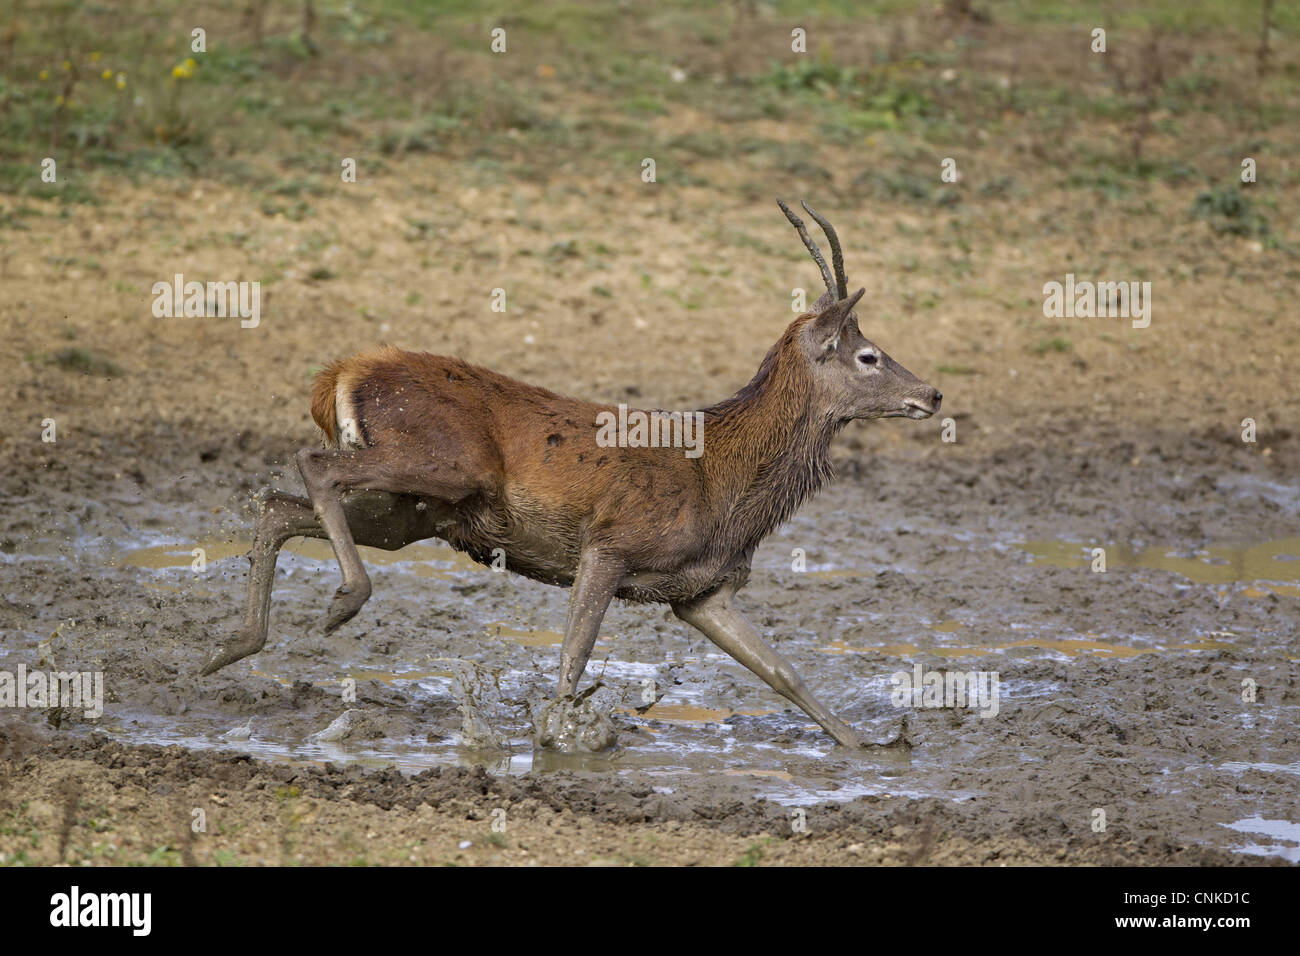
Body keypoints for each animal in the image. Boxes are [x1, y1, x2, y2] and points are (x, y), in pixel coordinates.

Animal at [197, 201, 941, 749]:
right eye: (869, 355)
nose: (932, 394)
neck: (726, 487)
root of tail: (339, 375)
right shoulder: (611, 542)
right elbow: (571, 660)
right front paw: (559, 737)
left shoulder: (701, 590)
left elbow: (785, 673)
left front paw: (870, 746)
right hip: (440, 463)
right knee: (312, 465)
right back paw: (341, 602)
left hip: (415, 509)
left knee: (279, 505)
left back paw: (229, 647)